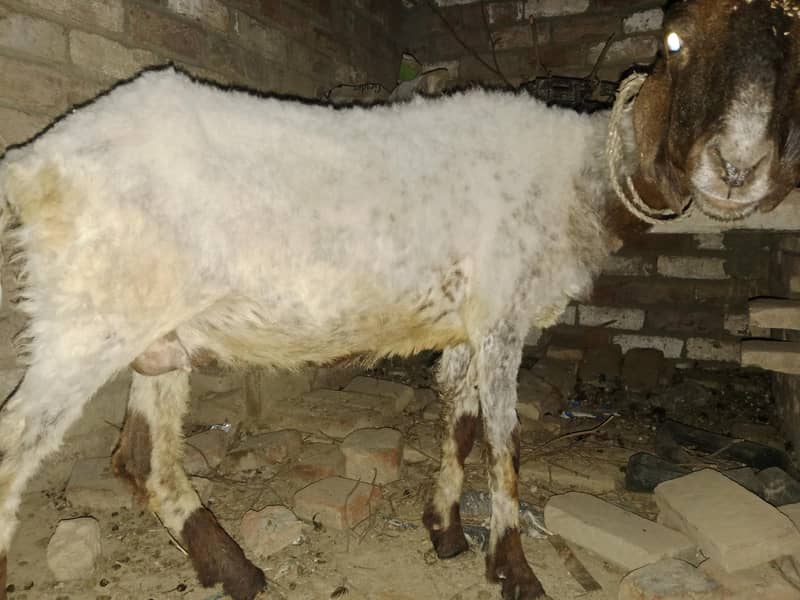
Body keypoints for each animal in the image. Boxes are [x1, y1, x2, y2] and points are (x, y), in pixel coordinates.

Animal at [0, 1, 799, 598]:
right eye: (674, 41)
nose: (736, 169)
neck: (579, 178)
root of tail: (32, 163)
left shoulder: (469, 326)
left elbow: (463, 425)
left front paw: (444, 530)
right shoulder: (502, 317)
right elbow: (507, 445)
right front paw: (515, 571)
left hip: (156, 336)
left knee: (145, 461)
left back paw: (235, 570)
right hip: (84, 321)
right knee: (18, 449)